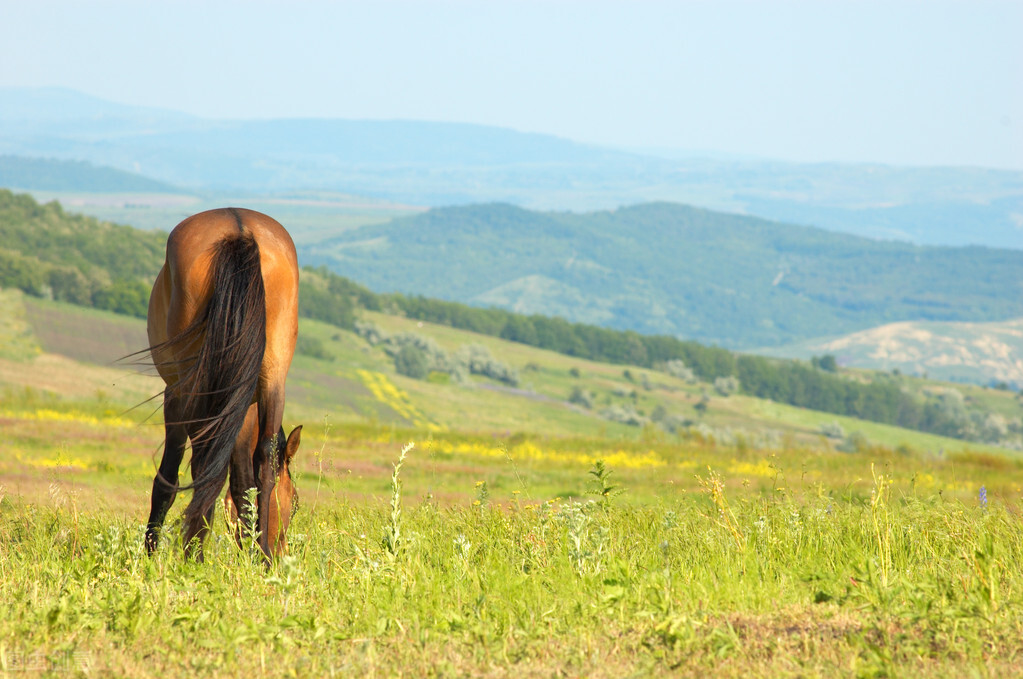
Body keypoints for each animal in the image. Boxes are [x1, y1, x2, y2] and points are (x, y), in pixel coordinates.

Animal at [144, 206, 302, 560]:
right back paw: (260, 557)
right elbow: (244, 482)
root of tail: (239, 229)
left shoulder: (177, 397)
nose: (282, 552)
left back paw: (195, 553)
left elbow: (170, 476)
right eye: (297, 503)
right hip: (274, 379)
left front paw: (151, 552)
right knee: (263, 459)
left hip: (189, 390)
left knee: (201, 468)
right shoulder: (243, 409)